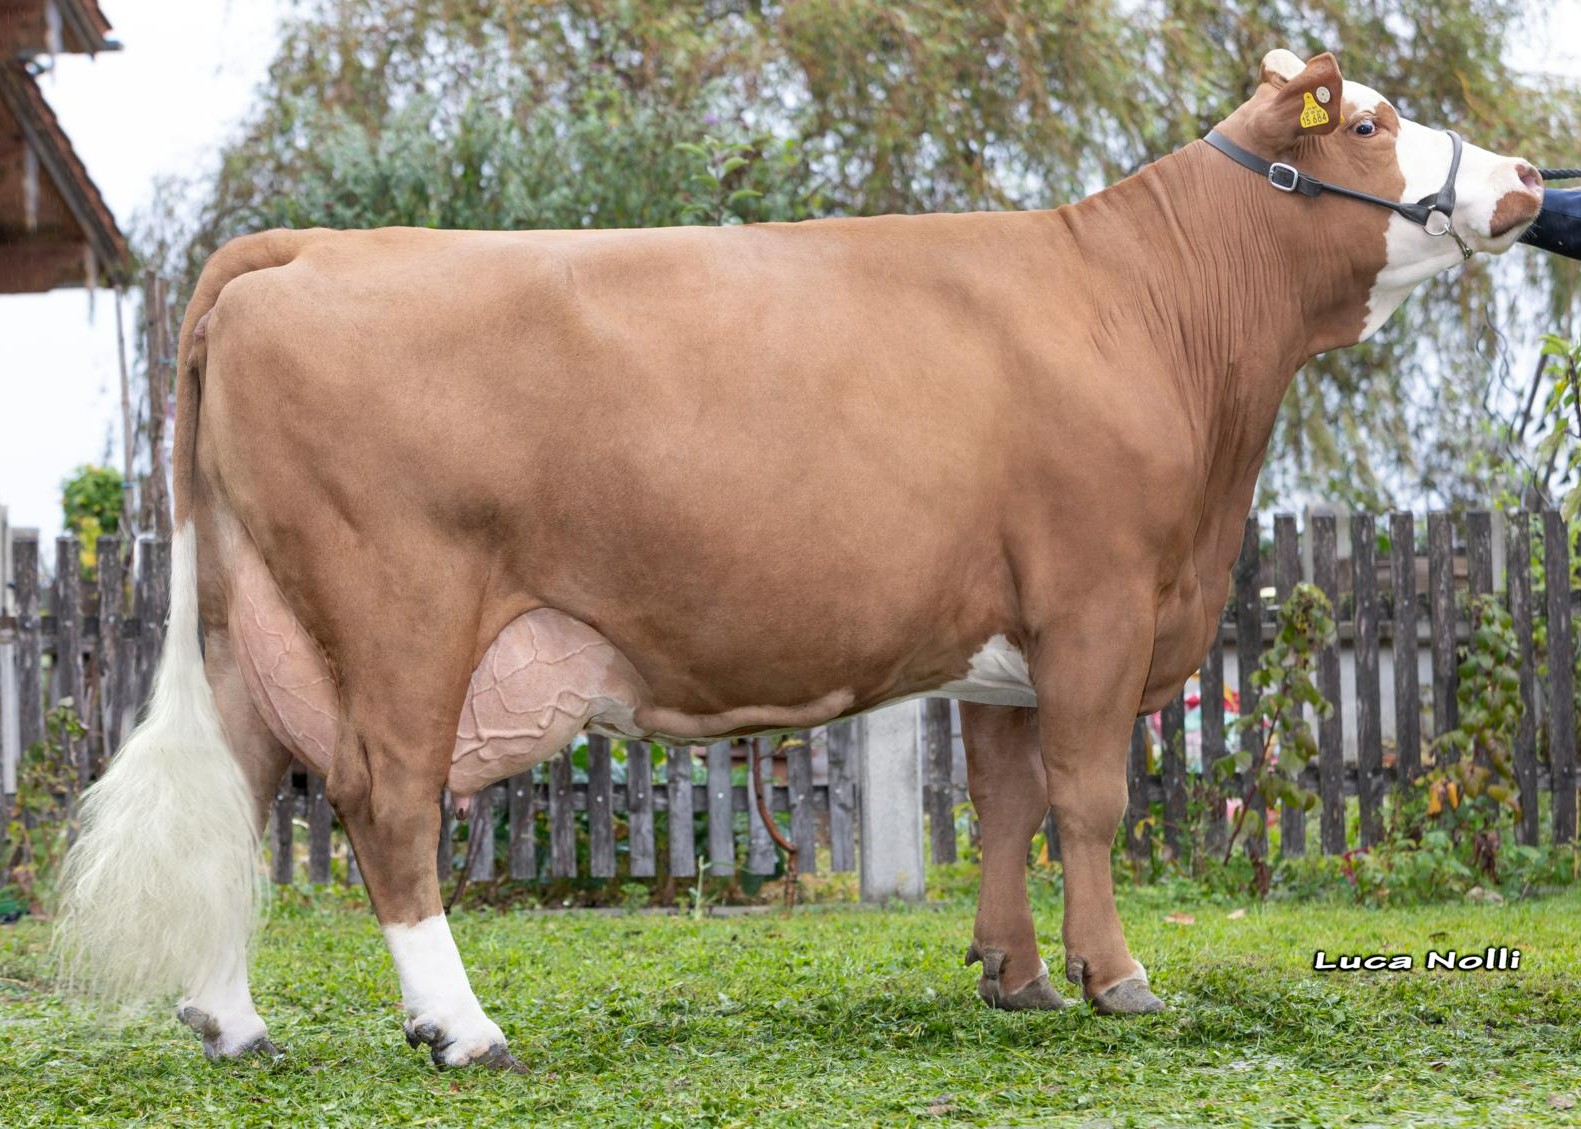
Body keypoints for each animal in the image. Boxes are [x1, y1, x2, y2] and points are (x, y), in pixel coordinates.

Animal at [56, 49, 1544, 1070]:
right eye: (1367, 125)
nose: (1529, 178)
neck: (1152, 309)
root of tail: (303, 248)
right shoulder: (1100, 601)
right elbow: (1088, 800)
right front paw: (1116, 977)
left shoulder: (1007, 641)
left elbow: (1005, 804)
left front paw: (1014, 975)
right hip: (401, 604)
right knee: (382, 800)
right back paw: (462, 1027)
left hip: (255, 618)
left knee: (246, 783)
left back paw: (231, 1021)